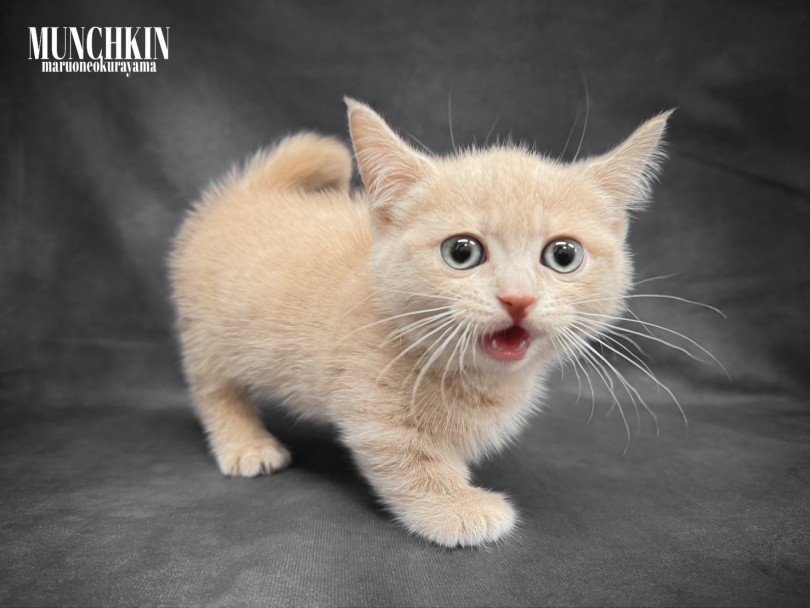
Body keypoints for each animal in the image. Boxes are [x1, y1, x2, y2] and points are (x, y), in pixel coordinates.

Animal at [169, 98, 668, 548]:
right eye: (461, 252)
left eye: (563, 255)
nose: (518, 298)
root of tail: (246, 192)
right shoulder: (373, 401)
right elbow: (409, 461)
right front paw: (455, 507)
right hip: (207, 333)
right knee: (213, 388)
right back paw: (246, 445)